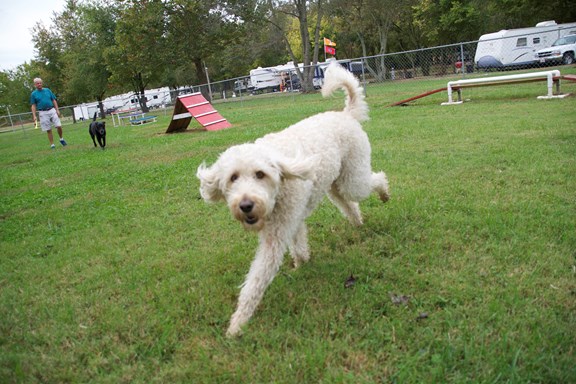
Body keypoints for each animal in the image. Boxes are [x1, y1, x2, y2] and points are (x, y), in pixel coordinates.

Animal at [196, 62, 390, 336]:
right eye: (233, 178)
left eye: (260, 174)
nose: (245, 205)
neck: (281, 182)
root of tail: (346, 114)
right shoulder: (291, 219)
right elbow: (298, 243)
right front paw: (301, 262)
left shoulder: (276, 236)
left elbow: (256, 281)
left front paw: (237, 324)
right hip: (335, 185)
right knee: (349, 204)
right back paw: (358, 223)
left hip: (353, 179)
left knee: (374, 181)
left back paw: (384, 193)